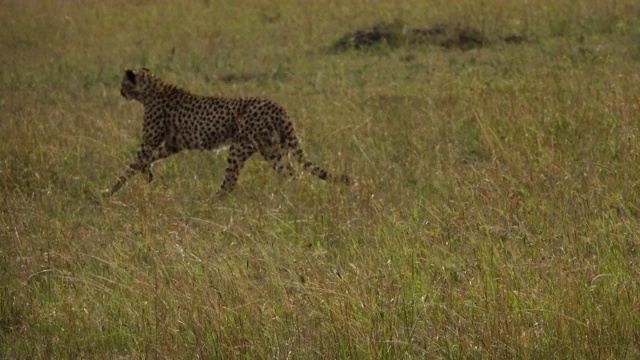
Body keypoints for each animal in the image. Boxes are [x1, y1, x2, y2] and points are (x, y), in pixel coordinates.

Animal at [107, 67, 352, 197]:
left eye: (123, 84)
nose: (119, 92)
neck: (150, 89)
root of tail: (278, 106)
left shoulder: (151, 142)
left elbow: (132, 165)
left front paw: (109, 191)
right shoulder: (172, 144)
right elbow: (147, 160)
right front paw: (147, 176)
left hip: (240, 147)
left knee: (230, 182)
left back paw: (210, 201)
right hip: (273, 150)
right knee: (293, 174)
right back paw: (296, 196)